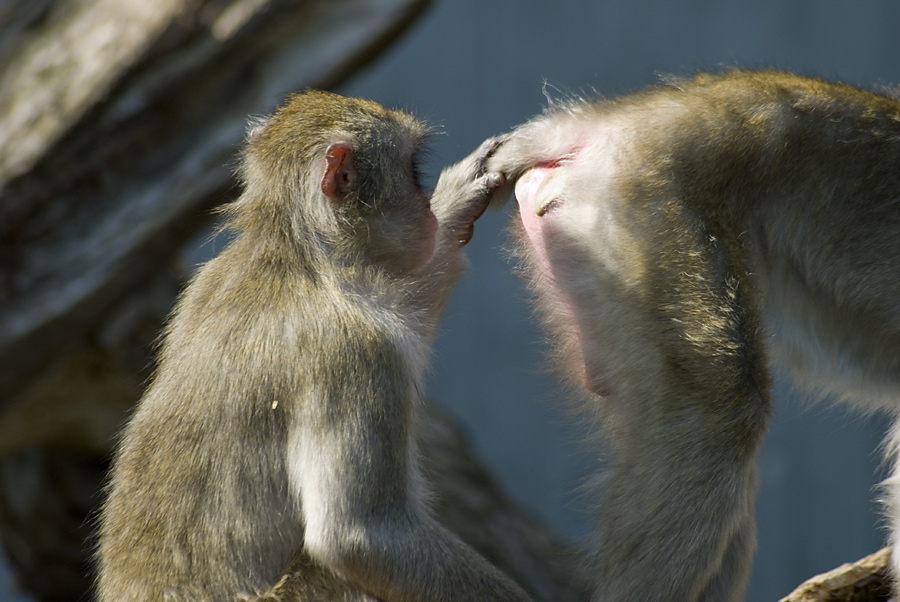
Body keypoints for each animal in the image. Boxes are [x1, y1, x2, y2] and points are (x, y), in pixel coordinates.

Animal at [96, 89, 536, 600]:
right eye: (412, 171)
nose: (428, 212)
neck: (297, 256)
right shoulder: (358, 354)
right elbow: (360, 538)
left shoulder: (201, 284)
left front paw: (458, 199)